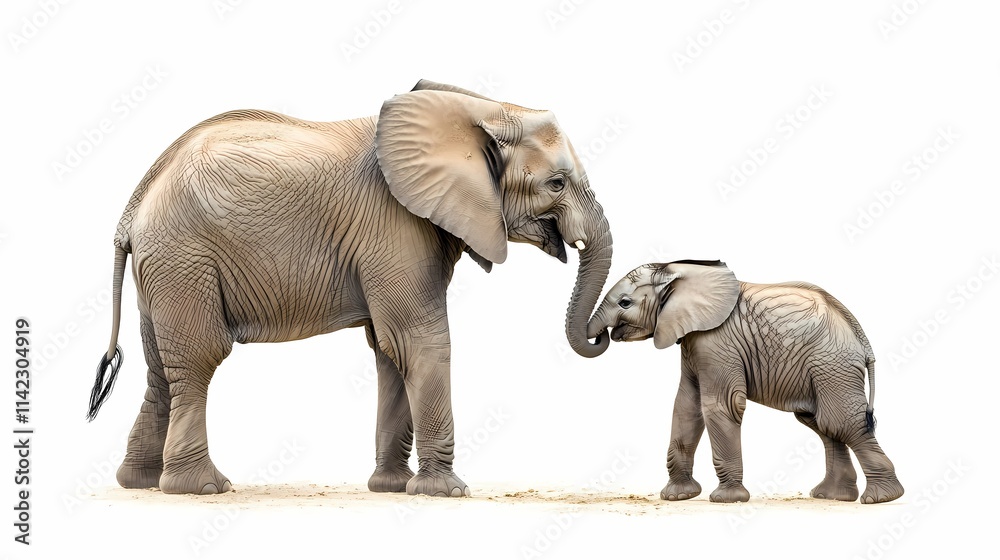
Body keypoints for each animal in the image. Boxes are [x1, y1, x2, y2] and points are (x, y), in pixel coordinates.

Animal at [87, 79, 613, 496]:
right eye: (557, 183)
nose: (603, 333)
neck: (480, 109)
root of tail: (133, 207)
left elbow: (388, 348)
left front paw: (392, 487)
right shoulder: (395, 226)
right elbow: (419, 340)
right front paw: (446, 492)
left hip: (162, 267)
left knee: (160, 368)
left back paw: (140, 483)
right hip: (183, 257)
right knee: (200, 357)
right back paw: (202, 488)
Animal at [587, 260, 903, 504]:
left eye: (625, 303)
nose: (603, 336)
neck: (680, 271)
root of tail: (860, 336)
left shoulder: (716, 340)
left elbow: (720, 405)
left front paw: (726, 500)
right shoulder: (693, 342)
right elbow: (686, 407)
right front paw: (677, 496)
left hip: (832, 364)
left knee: (840, 422)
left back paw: (882, 498)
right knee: (822, 423)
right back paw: (832, 497)